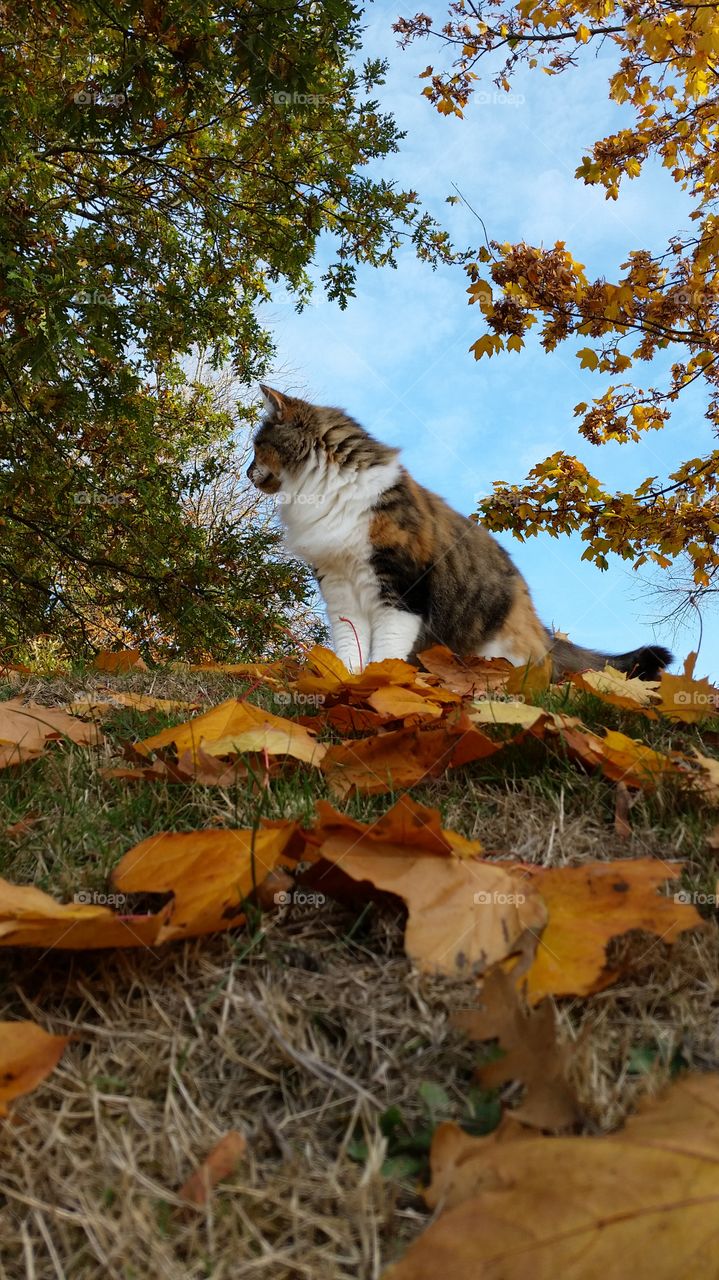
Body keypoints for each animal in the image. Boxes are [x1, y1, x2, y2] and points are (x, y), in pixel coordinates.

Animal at [248, 386, 670, 680]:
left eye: (257, 446)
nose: (248, 471)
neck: (323, 489)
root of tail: (541, 629)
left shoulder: (400, 588)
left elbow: (386, 647)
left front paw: (380, 680)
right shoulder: (338, 585)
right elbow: (349, 646)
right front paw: (347, 679)